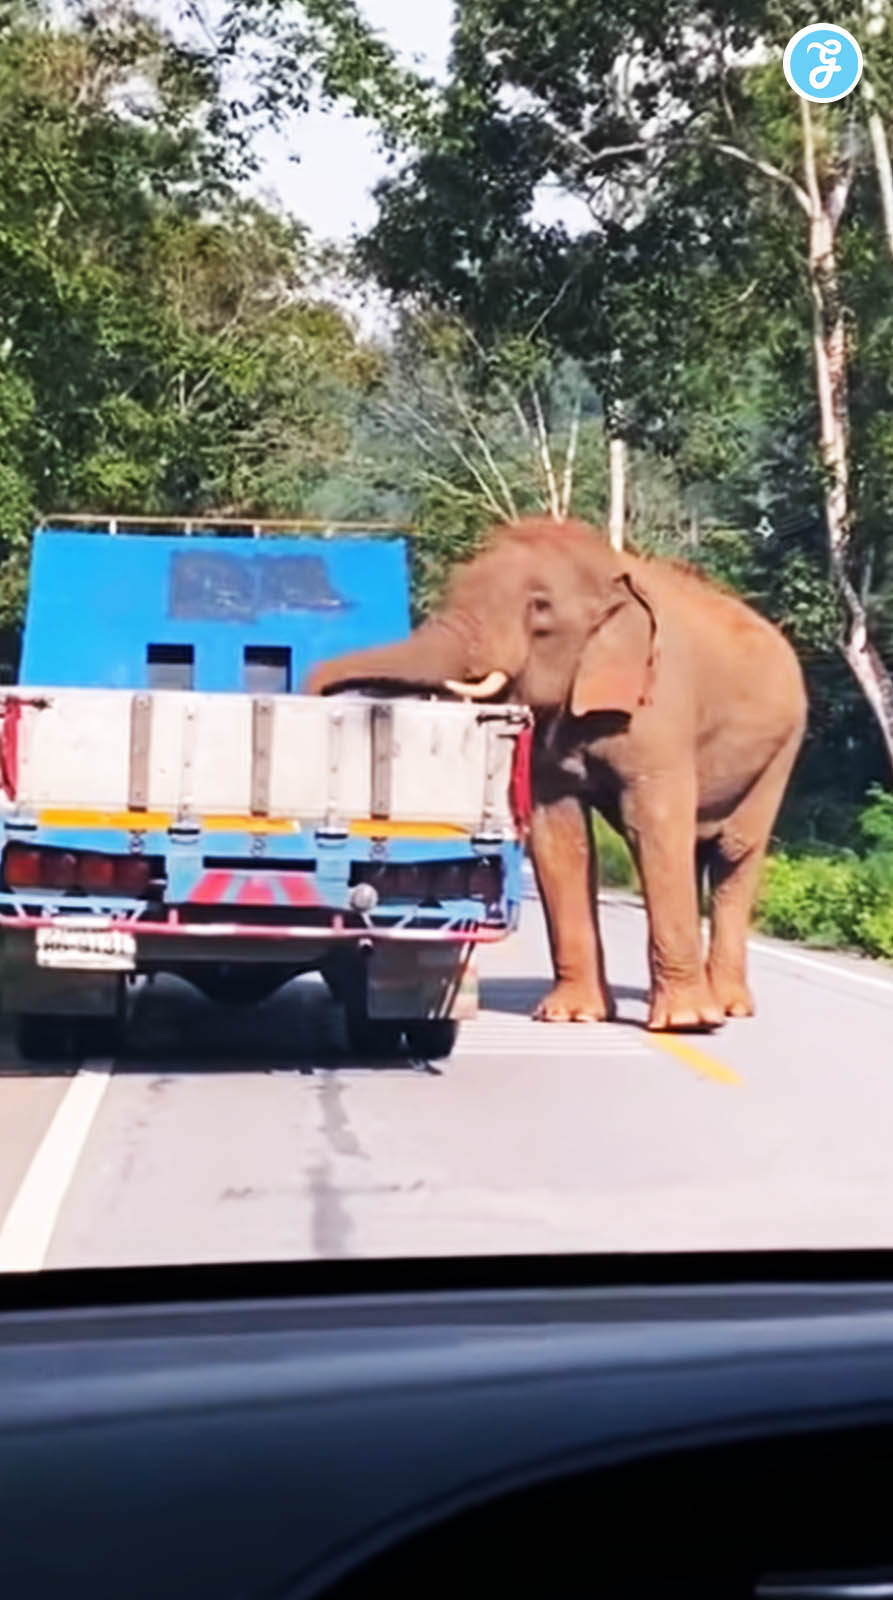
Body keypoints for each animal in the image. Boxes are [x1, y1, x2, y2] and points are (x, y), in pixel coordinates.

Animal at [305, 517, 807, 1032]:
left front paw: (685, 1023)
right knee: (700, 848)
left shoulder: (663, 705)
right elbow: (560, 835)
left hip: (783, 747)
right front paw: (571, 1015)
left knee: (733, 851)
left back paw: (727, 1008)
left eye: (539, 607)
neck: (613, 570)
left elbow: (654, 826)